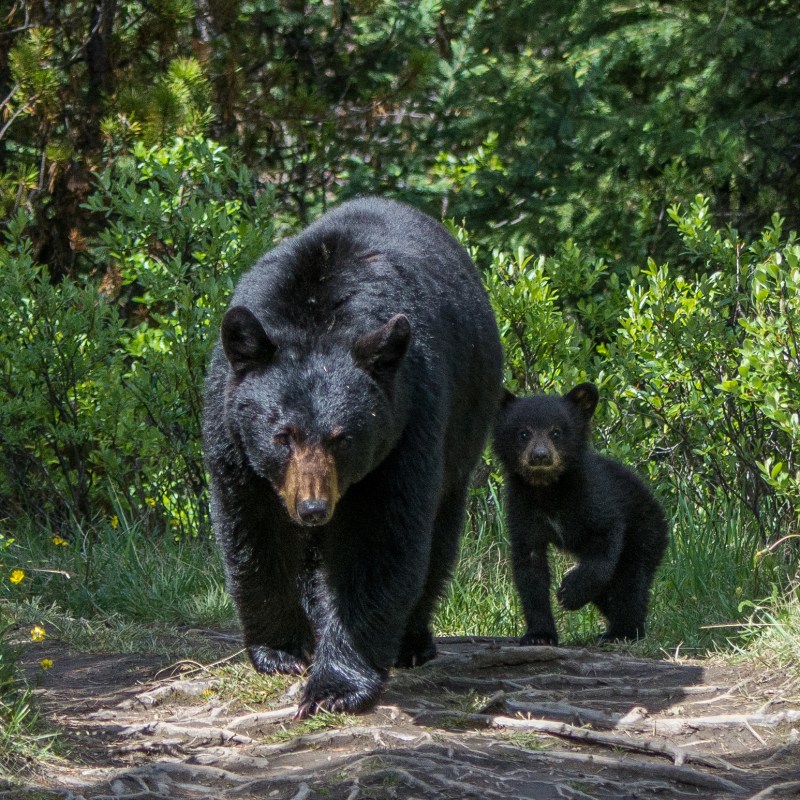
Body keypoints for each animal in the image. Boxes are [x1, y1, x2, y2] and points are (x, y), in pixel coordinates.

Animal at [203, 197, 503, 717]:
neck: (317, 316)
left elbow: (377, 541)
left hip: (463, 431)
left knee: (438, 536)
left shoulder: (408, 421)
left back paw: (411, 641)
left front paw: (335, 685)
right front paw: (281, 650)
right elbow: (253, 530)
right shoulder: (233, 433)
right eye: (283, 436)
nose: (312, 508)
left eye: (343, 438)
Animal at [493, 382, 668, 645]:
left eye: (556, 432)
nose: (540, 456)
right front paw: (539, 635)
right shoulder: (522, 509)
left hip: (646, 530)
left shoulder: (593, 496)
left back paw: (623, 631)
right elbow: (530, 569)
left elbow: (605, 540)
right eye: (524, 433)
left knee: (630, 582)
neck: (548, 489)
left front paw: (570, 592)